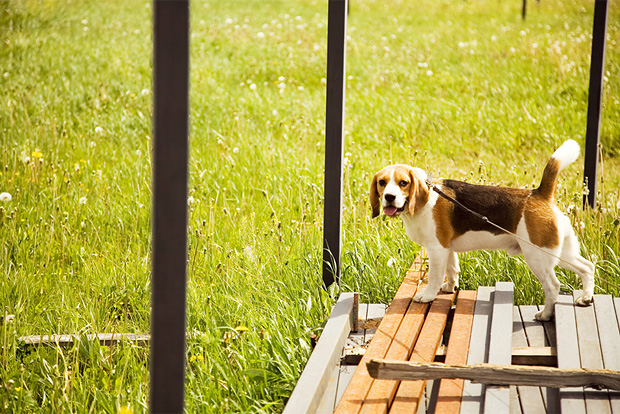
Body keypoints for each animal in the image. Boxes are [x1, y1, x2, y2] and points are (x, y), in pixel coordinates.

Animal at [370, 139, 592, 320]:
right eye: (382, 182)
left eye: (403, 183)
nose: (389, 197)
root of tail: (540, 194)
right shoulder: (447, 249)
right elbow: (452, 270)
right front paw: (449, 288)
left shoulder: (436, 249)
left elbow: (434, 277)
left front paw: (427, 296)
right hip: (559, 252)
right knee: (587, 267)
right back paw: (586, 298)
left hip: (538, 256)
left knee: (553, 286)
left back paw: (545, 314)